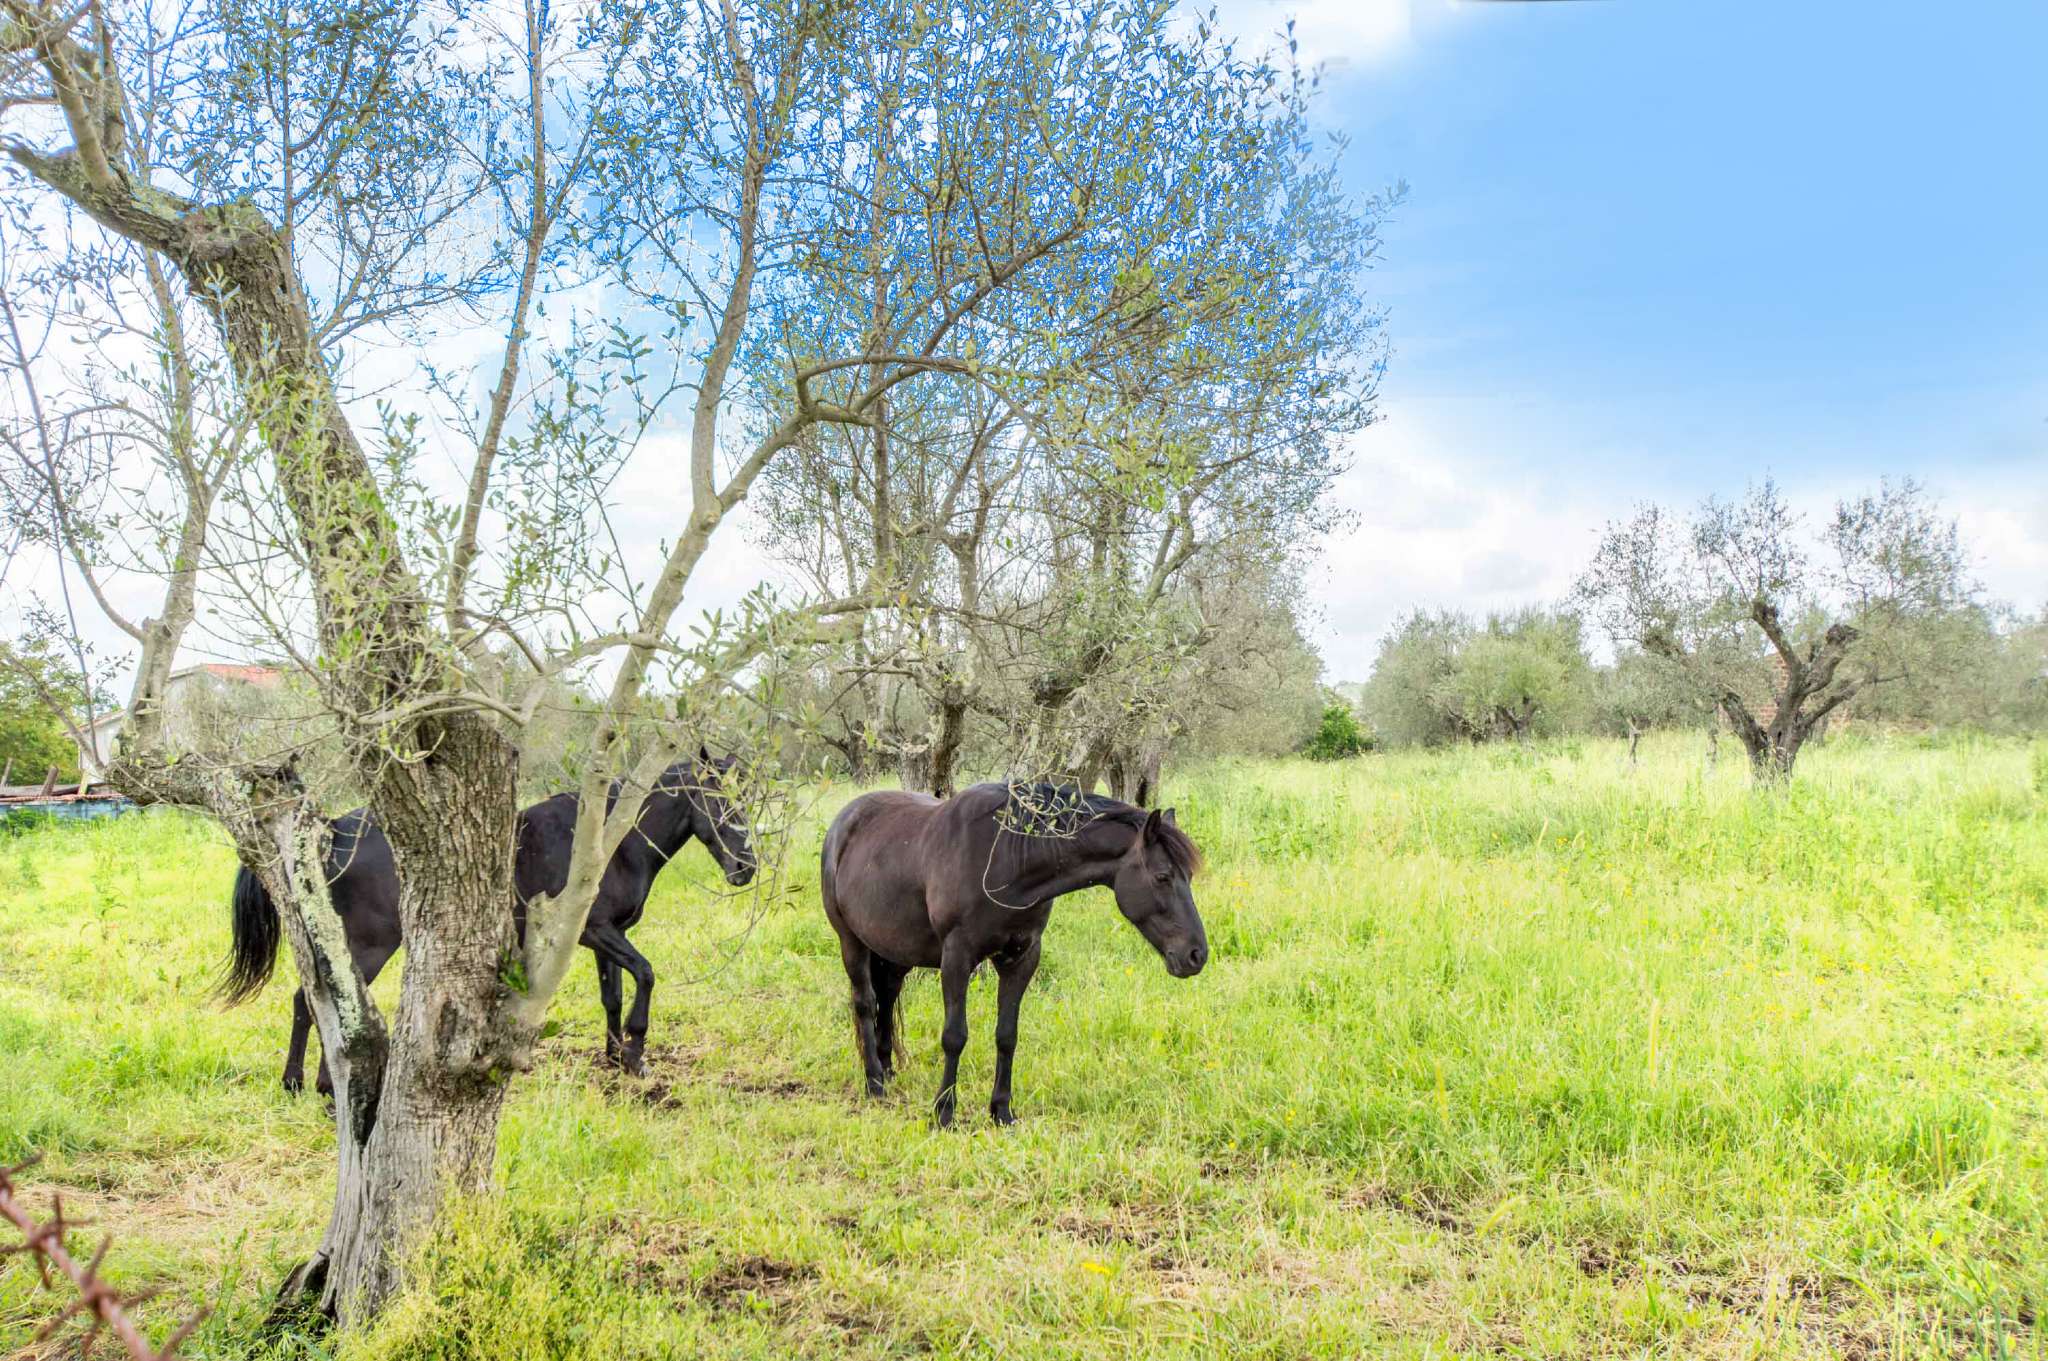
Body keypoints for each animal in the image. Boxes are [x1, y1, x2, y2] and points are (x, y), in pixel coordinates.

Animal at [226, 749, 753, 1088]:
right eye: (719, 802)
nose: (745, 869)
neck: (610, 841)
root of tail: (335, 831)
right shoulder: (596, 932)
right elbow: (644, 974)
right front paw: (637, 1054)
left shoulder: (607, 935)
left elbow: (613, 994)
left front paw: (614, 1056)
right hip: (367, 944)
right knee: (318, 1003)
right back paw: (314, 1083)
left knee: (313, 1002)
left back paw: (307, 1082)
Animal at [815, 781, 1196, 1121]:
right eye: (1163, 877)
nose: (1196, 954)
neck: (1004, 860)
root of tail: (844, 822)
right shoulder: (957, 958)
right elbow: (954, 1036)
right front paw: (944, 1111)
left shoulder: (1022, 958)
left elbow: (1007, 1035)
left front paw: (1001, 1110)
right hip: (851, 941)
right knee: (865, 1003)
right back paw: (874, 1083)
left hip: (896, 951)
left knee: (888, 996)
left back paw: (887, 1068)